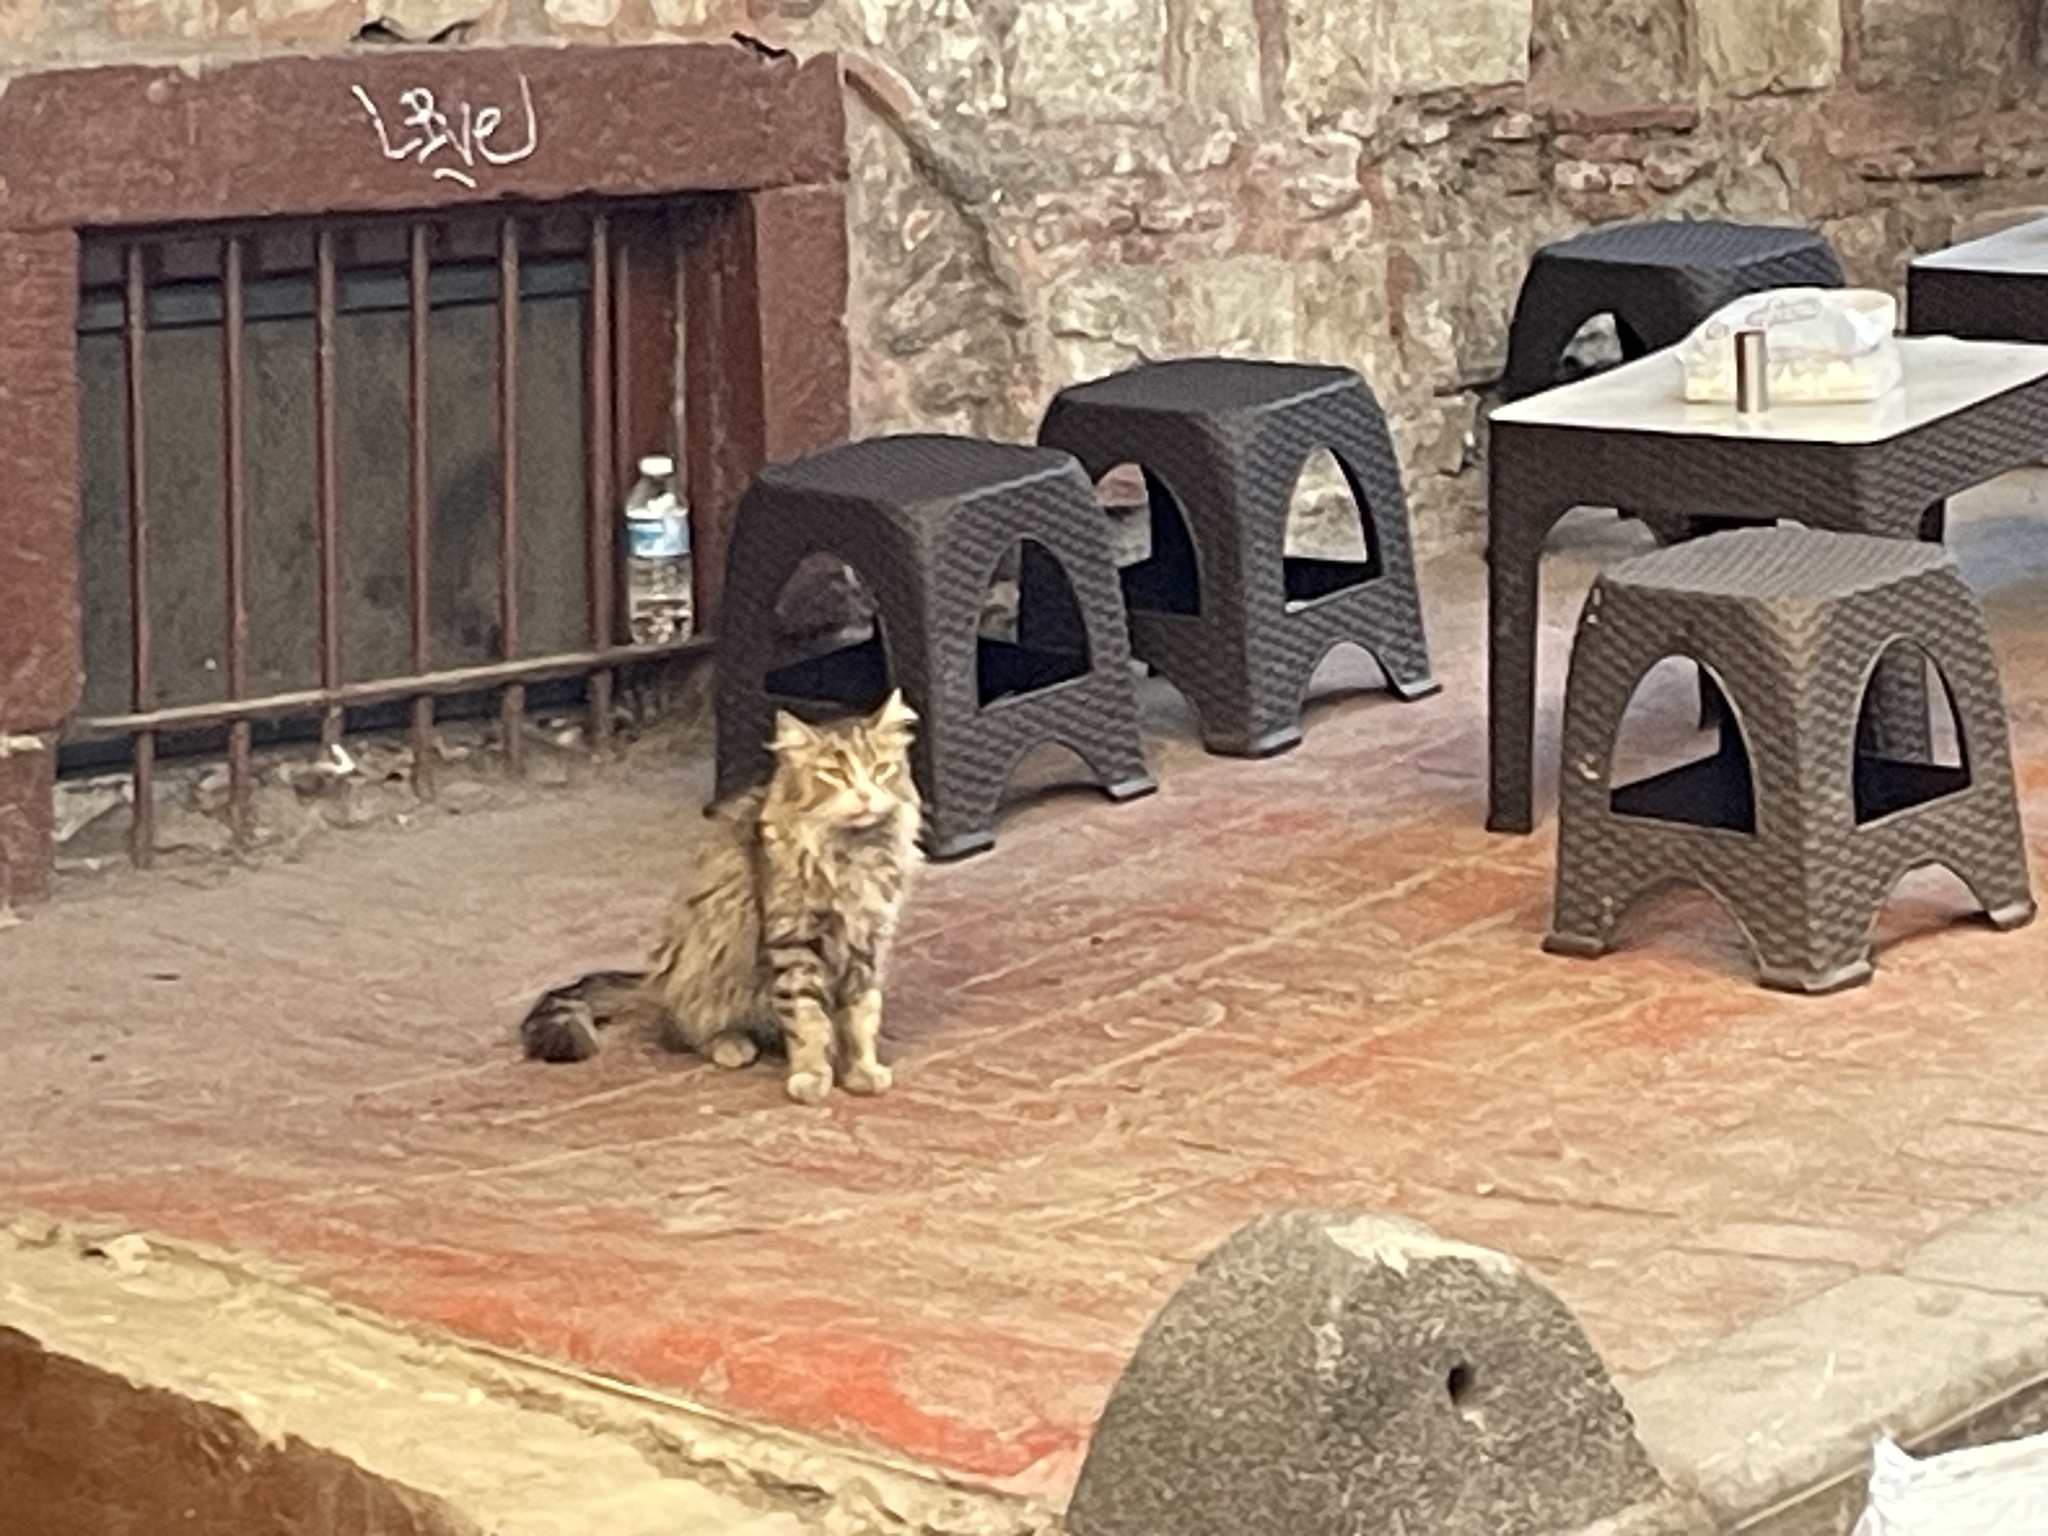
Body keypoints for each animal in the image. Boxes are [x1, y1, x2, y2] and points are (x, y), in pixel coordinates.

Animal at [520, 696, 921, 1105]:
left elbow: (861, 1017)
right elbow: (809, 1021)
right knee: (684, 1030)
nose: (865, 795)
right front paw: (811, 1077)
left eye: (881, 770)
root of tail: (655, 985)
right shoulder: (794, 943)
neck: (853, 853)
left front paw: (862, 1071)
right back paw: (731, 1045)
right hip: (715, 944)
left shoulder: (868, 941)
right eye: (834, 774)